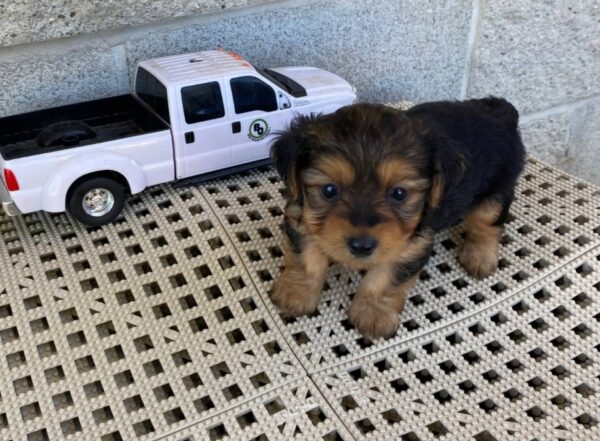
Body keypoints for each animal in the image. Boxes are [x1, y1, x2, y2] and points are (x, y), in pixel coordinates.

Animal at [270, 98, 524, 338]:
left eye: (399, 193)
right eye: (329, 190)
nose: (362, 246)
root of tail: (499, 111)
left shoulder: (413, 244)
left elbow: (385, 279)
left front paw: (373, 312)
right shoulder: (301, 216)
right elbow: (306, 258)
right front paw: (297, 291)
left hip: (496, 191)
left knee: (487, 225)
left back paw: (479, 255)